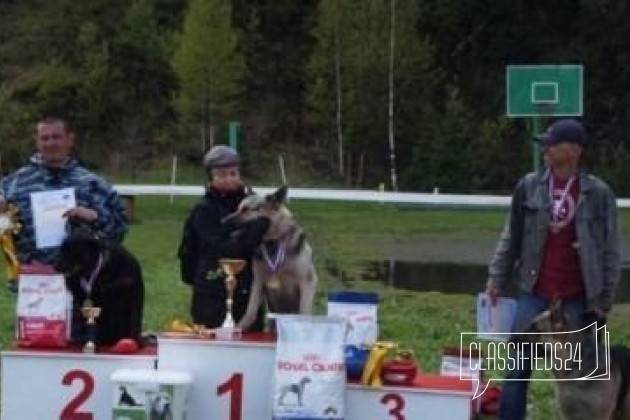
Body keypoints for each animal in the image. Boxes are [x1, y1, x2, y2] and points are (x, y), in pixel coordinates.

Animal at [225, 187, 318, 332]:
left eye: (247, 210)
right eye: (238, 208)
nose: (222, 221)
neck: (274, 242)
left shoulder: (307, 282)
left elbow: (304, 312)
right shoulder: (257, 282)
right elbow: (250, 310)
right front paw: (240, 327)